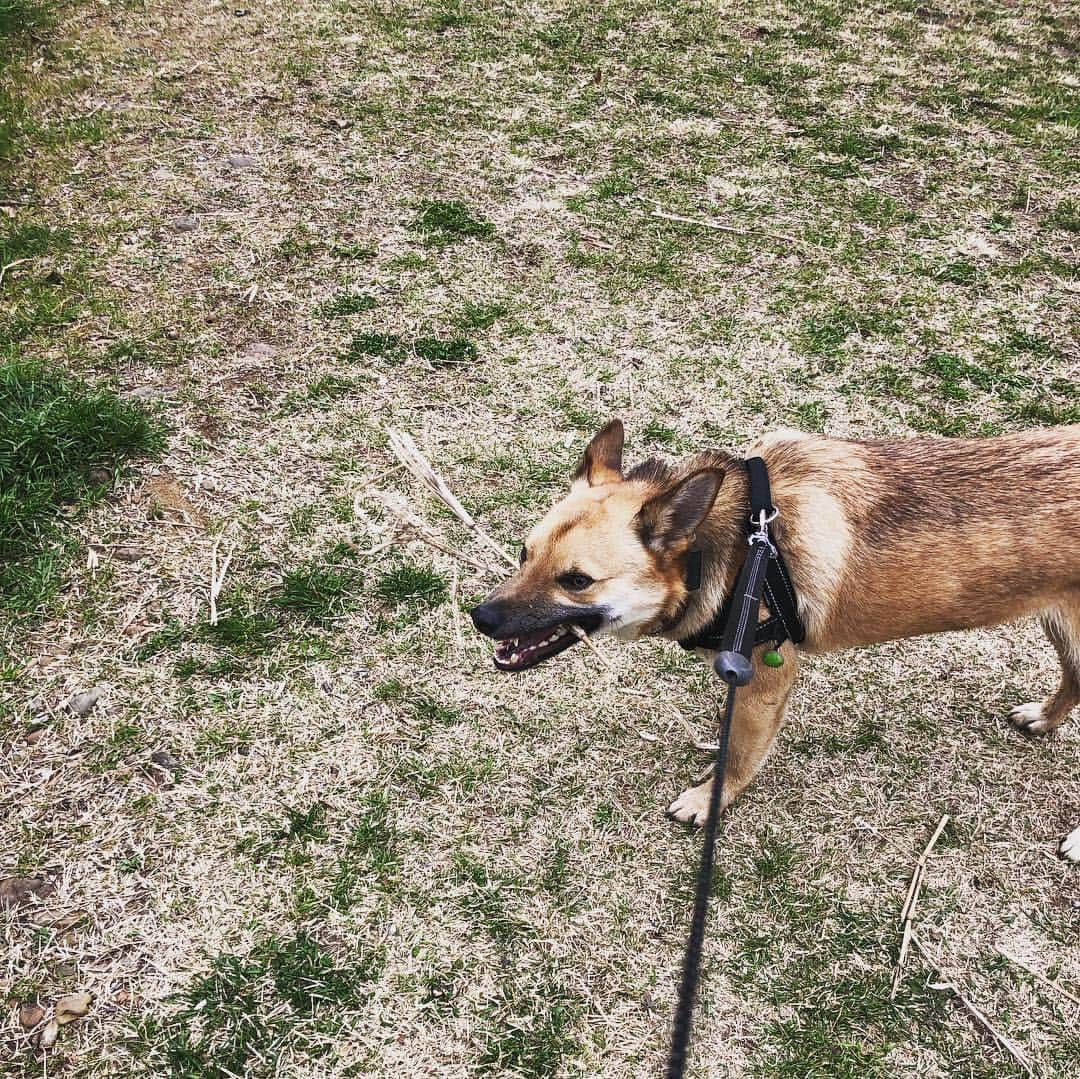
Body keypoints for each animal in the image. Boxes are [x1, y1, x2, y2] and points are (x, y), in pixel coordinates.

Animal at [470, 421, 1080, 859]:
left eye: (575, 580)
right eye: (524, 553)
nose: (480, 617)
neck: (738, 548)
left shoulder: (767, 679)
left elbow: (739, 757)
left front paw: (707, 800)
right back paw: (1043, 718)